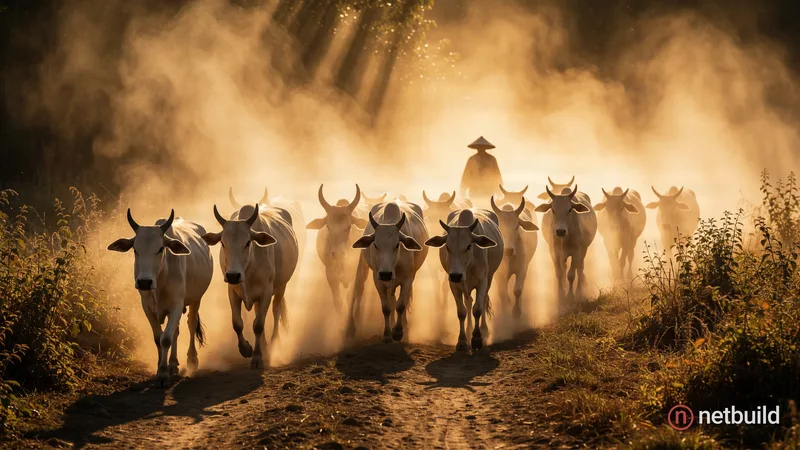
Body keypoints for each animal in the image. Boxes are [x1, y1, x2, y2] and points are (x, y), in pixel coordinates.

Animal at [107, 209, 213, 386]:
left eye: (160, 249)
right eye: (135, 249)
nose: (144, 282)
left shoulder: (176, 305)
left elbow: (166, 339)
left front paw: (163, 374)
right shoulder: (147, 307)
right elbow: (158, 338)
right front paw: (160, 369)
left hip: (196, 299)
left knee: (191, 325)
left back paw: (191, 360)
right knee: (176, 331)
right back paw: (173, 364)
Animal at [201, 204, 299, 369]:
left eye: (247, 242)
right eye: (223, 243)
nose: (233, 275)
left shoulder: (266, 293)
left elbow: (258, 325)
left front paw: (257, 357)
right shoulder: (233, 292)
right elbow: (237, 323)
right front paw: (246, 349)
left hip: (281, 287)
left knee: (276, 311)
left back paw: (273, 342)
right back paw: (264, 346)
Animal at [347, 201, 428, 343]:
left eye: (397, 245)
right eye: (375, 245)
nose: (386, 274)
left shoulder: (407, 279)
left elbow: (401, 305)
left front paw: (398, 332)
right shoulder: (378, 280)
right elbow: (386, 307)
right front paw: (387, 333)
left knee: (403, 300)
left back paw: (404, 326)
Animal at [424, 208, 503, 351]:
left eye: (468, 246)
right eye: (447, 247)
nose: (456, 275)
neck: (468, 266)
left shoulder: (482, 282)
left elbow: (477, 309)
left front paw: (477, 338)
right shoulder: (454, 286)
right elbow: (461, 312)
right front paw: (462, 341)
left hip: (489, 278)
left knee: (482, 301)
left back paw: (483, 329)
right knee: (468, 303)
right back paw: (468, 329)